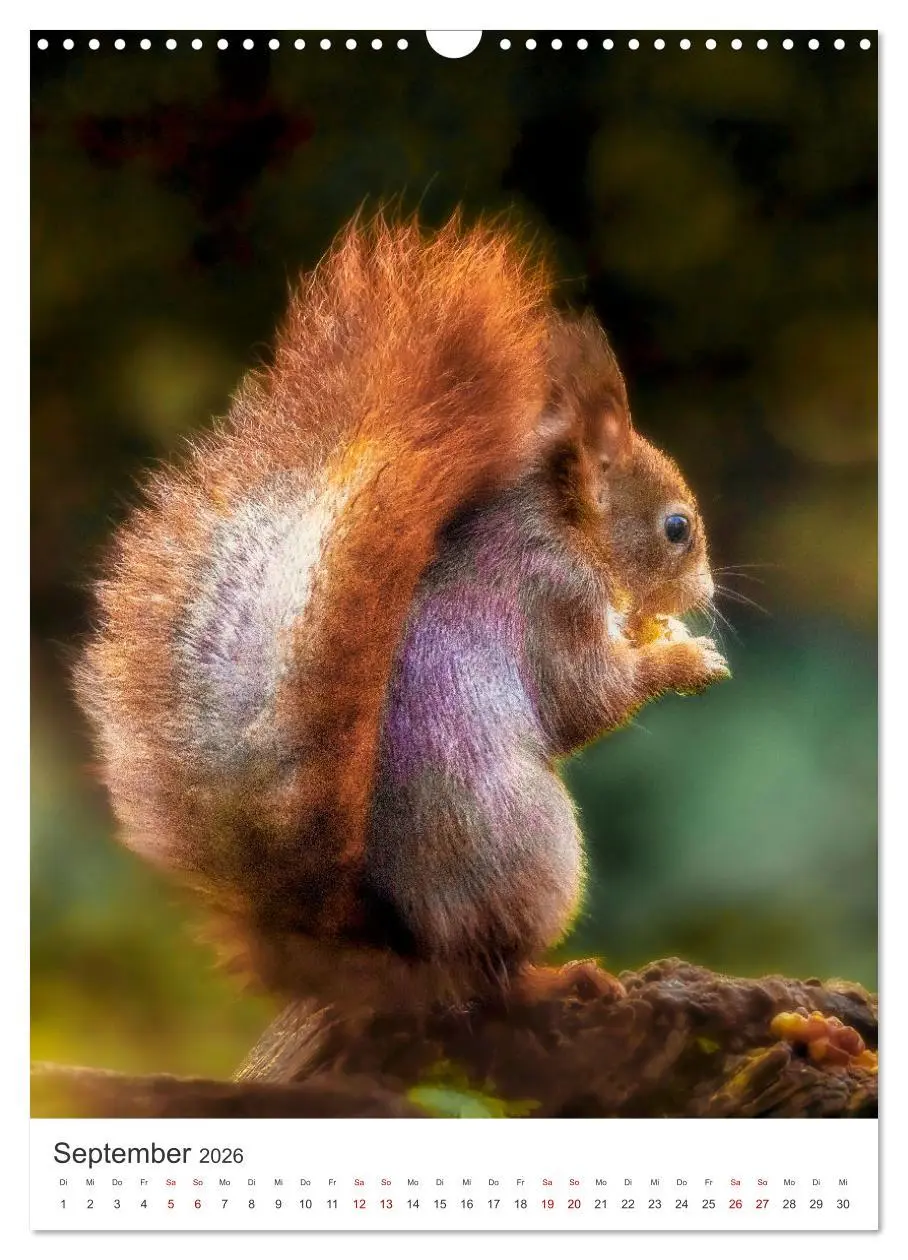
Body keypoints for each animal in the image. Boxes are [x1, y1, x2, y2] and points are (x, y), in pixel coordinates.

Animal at [76, 213, 729, 1012]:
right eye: (677, 528)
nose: (705, 595)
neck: (566, 525)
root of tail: (391, 939)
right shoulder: (554, 598)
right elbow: (585, 696)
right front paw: (682, 657)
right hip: (534, 851)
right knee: (493, 973)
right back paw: (558, 977)